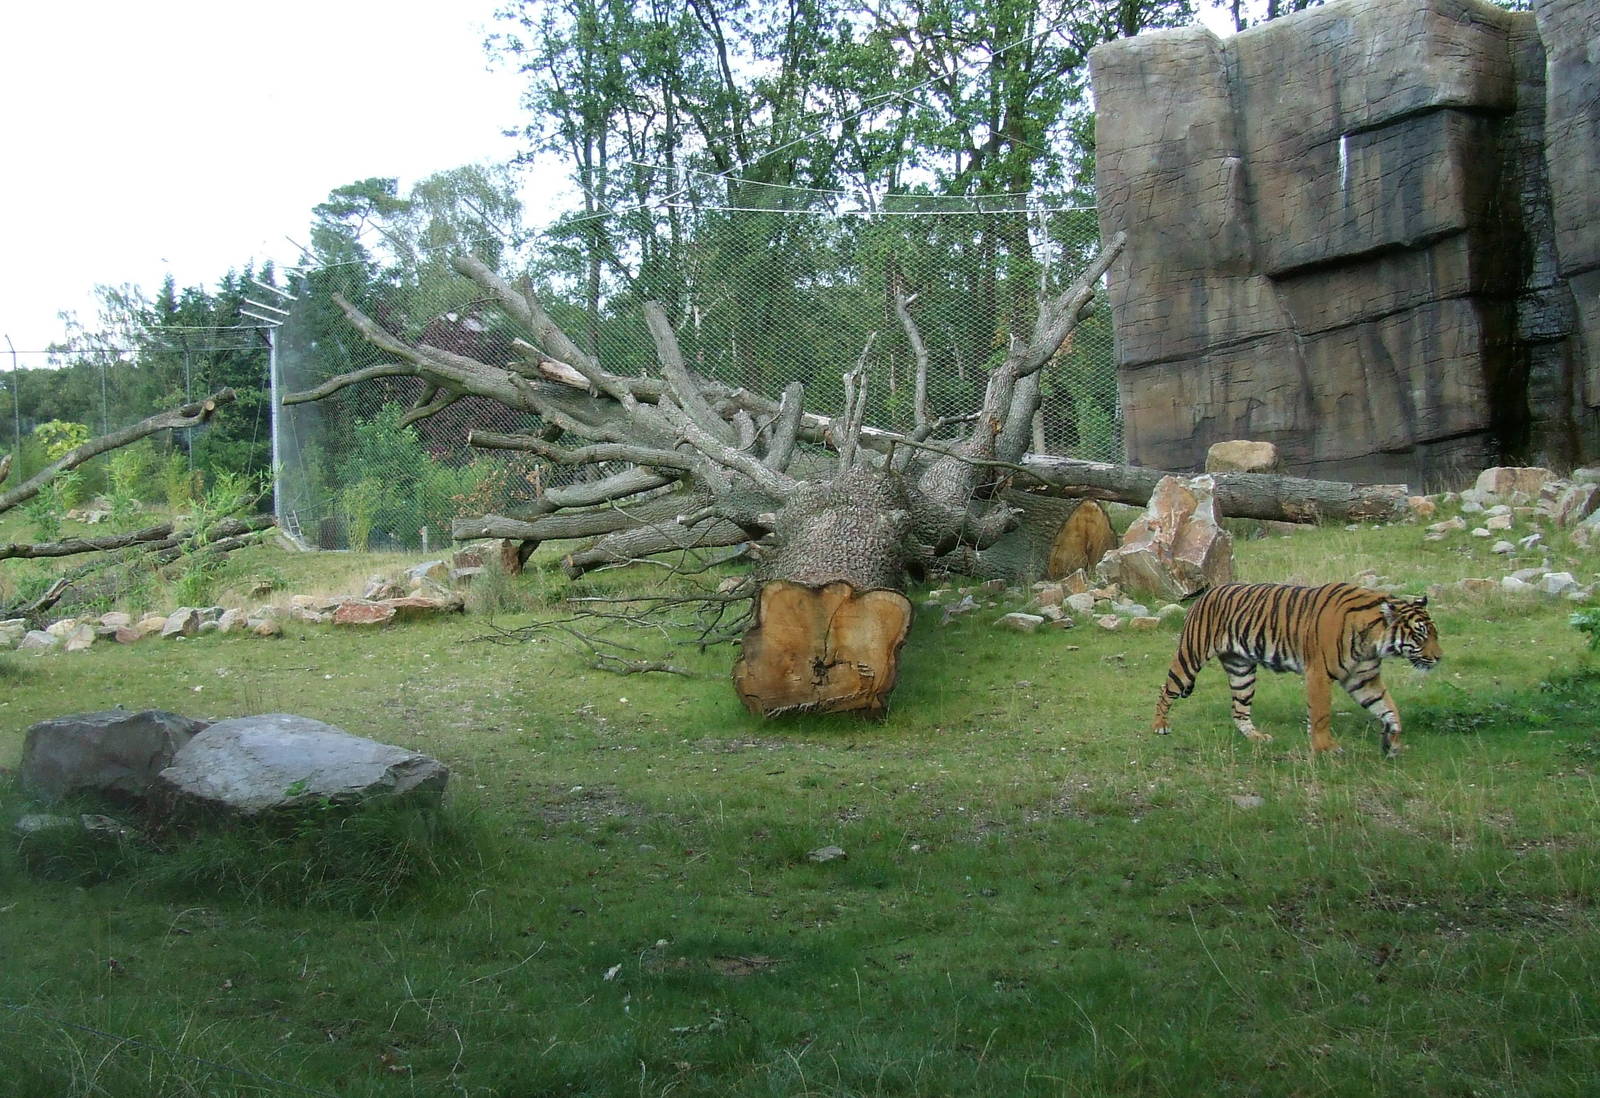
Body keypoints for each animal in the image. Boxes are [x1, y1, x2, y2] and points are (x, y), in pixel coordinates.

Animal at [1152, 582, 1442, 757]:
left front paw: (1393, 742)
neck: (1372, 641)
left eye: (1434, 634)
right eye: (1420, 635)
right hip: (1191, 656)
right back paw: (1160, 726)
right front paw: (1326, 748)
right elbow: (1321, 715)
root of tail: (1206, 593)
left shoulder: (1364, 679)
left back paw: (1256, 737)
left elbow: (1390, 708)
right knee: (1166, 689)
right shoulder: (1319, 674)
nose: (1439, 657)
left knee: (1239, 710)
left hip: (1242, 670)